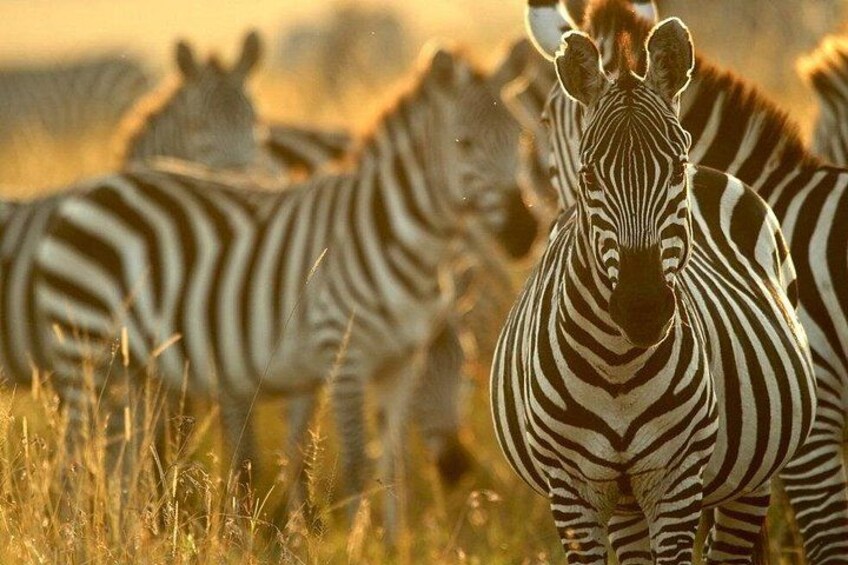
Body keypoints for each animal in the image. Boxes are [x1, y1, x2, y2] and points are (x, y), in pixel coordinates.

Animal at [18, 45, 536, 535]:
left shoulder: (399, 361)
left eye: (521, 138)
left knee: (121, 463)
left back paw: (127, 539)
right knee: (71, 462)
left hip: (129, 371)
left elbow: (393, 465)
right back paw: (74, 537)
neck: (394, 234)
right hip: (84, 354)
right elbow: (355, 464)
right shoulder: (342, 354)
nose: (523, 233)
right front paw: (358, 544)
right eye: (465, 144)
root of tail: (86, 192)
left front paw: (394, 545)